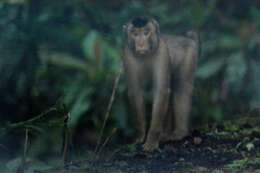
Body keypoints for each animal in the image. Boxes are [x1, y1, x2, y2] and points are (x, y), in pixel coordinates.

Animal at [123, 16, 200, 151]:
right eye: (135, 34)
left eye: (146, 33)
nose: (141, 44)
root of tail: (187, 38)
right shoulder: (127, 55)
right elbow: (135, 92)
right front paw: (140, 136)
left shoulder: (162, 52)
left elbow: (161, 92)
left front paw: (152, 141)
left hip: (189, 56)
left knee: (181, 89)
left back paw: (179, 132)